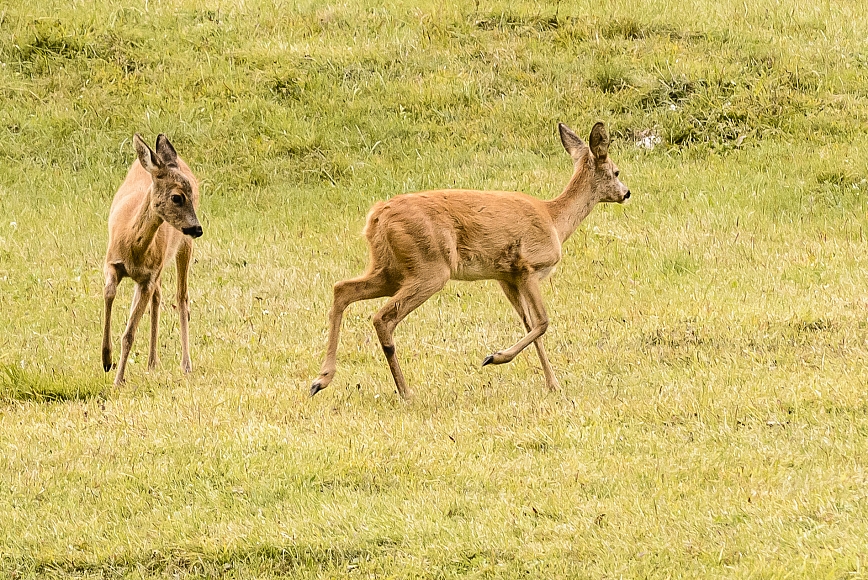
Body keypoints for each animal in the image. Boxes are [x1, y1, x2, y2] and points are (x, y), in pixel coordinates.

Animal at [102, 135, 203, 386]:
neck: (132, 246)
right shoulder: (111, 262)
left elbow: (129, 334)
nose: (198, 228)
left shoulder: (147, 278)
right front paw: (106, 359)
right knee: (158, 297)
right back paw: (152, 362)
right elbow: (109, 294)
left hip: (184, 246)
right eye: (177, 197)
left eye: (191, 195)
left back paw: (185, 364)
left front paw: (118, 380)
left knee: (181, 297)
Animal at [312, 119, 632, 396]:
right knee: (381, 317)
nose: (627, 193)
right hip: (429, 268)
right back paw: (405, 392)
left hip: (391, 269)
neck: (554, 219)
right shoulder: (528, 266)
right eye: (616, 172)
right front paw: (494, 357)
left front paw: (552, 384)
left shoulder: (506, 277)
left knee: (342, 288)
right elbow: (542, 322)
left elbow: (530, 325)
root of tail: (376, 216)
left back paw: (321, 380)